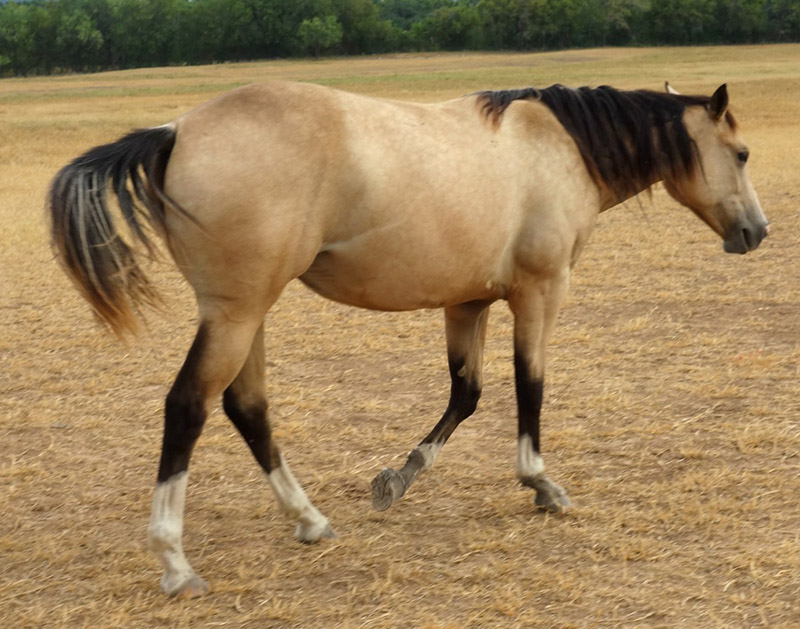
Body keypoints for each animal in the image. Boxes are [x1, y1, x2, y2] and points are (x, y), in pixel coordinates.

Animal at [48, 81, 768, 596]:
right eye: (740, 154)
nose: (757, 231)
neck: (558, 146)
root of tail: (175, 132)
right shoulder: (540, 293)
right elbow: (529, 386)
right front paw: (540, 483)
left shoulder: (467, 302)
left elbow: (466, 395)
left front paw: (398, 477)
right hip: (235, 315)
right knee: (189, 406)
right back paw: (175, 560)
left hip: (244, 314)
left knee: (245, 407)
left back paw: (309, 519)